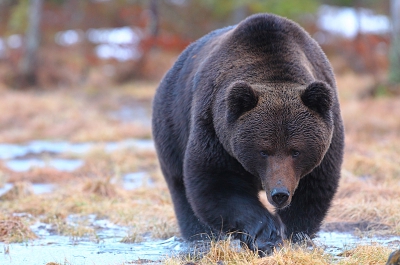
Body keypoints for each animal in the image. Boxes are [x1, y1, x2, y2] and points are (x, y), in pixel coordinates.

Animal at [152, 13, 346, 255]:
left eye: (295, 151)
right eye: (263, 151)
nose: (279, 193)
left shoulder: (327, 142)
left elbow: (313, 190)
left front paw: (294, 236)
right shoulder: (215, 131)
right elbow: (217, 183)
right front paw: (266, 234)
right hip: (172, 126)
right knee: (180, 188)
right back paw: (200, 236)